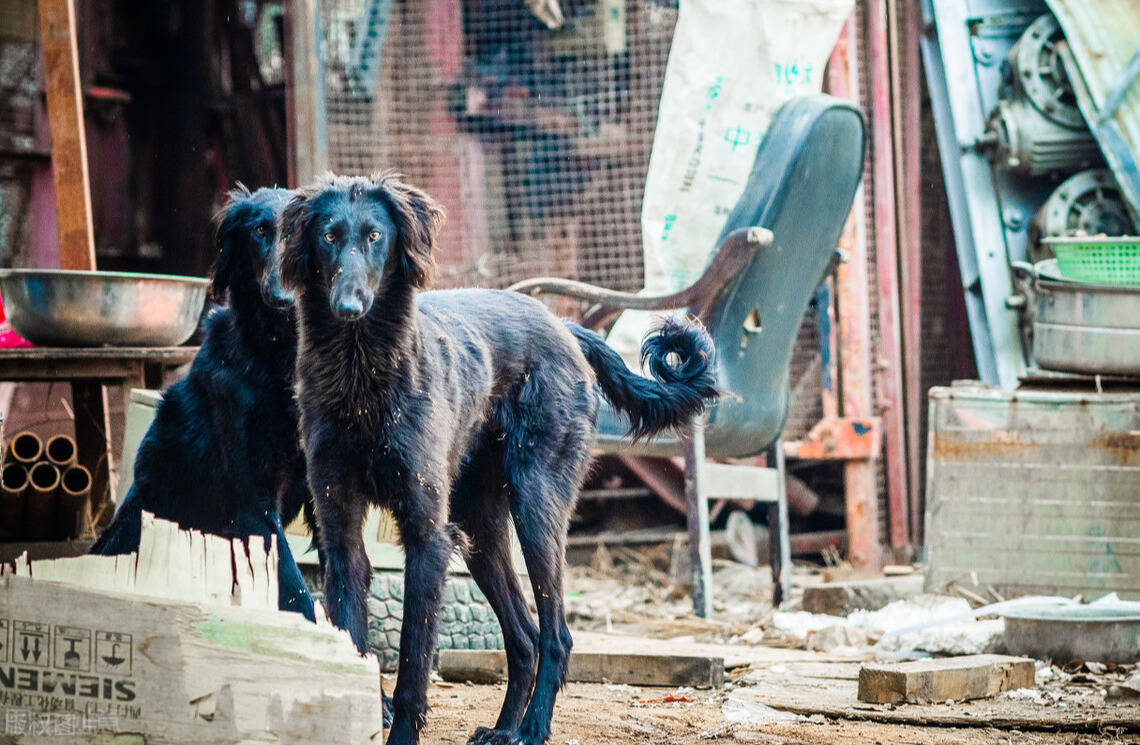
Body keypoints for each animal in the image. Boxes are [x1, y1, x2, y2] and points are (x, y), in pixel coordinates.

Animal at [279, 172, 715, 745]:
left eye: (375, 236)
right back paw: (505, 729)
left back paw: (532, 727)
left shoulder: (428, 535)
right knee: (524, 636)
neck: (362, 375)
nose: (349, 306)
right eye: (329, 236)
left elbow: (414, 661)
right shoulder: (341, 534)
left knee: (556, 635)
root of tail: (563, 325)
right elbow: (353, 637)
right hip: (479, 526)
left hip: (536, 506)